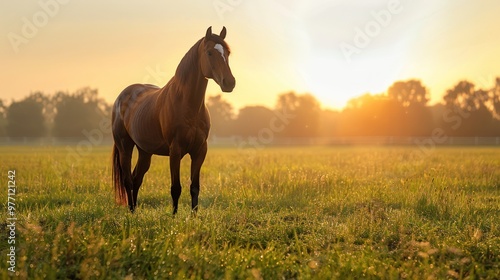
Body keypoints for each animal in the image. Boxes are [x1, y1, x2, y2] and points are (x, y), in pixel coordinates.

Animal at [111, 26, 234, 214]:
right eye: (209, 52)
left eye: (228, 52)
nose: (229, 82)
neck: (187, 104)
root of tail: (121, 97)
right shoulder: (175, 151)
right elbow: (176, 188)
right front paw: (174, 217)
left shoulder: (200, 151)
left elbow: (194, 187)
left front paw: (194, 216)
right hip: (125, 147)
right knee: (128, 181)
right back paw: (131, 212)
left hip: (145, 151)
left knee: (136, 178)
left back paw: (136, 211)